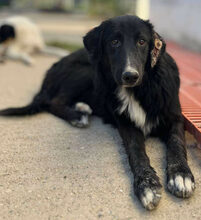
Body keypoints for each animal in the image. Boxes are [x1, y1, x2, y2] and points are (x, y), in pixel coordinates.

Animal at [0, 15, 195, 210]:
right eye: (114, 42)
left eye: (142, 41)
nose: (130, 76)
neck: (140, 89)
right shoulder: (126, 124)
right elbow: (136, 152)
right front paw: (147, 184)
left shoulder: (175, 118)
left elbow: (177, 144)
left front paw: (181, 175)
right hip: (87, 71)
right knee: (52, 102)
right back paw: (77, 115)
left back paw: (81, 107)